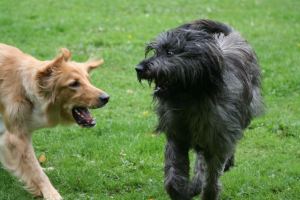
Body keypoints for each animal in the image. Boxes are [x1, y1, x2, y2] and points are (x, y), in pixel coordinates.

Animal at [0, 43, 109, 199]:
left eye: (88, 80)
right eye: (74, 84)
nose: (106, 98)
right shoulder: (16, 137)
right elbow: (36, 171)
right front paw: (51, 193)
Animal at [135, 19, 262, 200]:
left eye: (170, 52)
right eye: (156, 51)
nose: (139, 68)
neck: (191, 99)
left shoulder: (218, 140)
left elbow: (211, 177)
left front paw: (206, 192)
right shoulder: (177, 137)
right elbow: (174, 173)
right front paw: (181, 191)